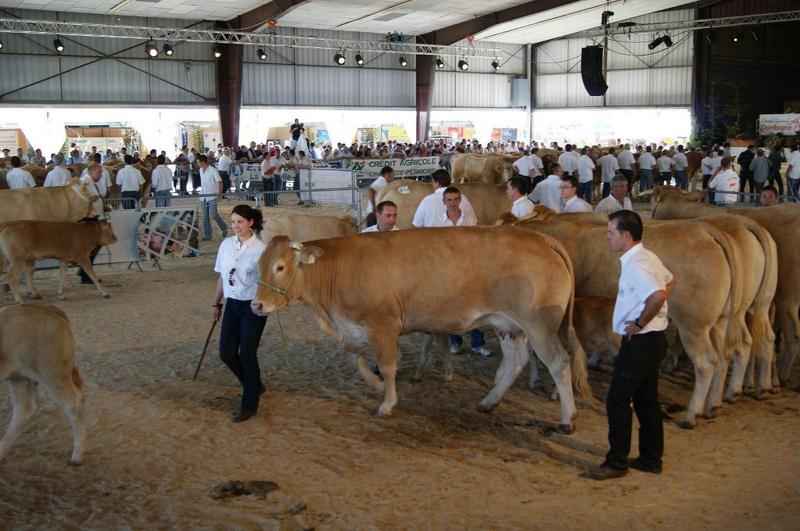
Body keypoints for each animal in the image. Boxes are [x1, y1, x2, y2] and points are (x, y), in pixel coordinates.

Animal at [0, 304, 85, 466]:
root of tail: (48, 308)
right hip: (21, 376)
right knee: (24, 410)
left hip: (52, 374)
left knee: (73, 406)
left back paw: (77, 456)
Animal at [250, 229, 592, 432]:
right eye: (257, 266)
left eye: (280, 267)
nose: (257, 305)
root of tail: (539, 236)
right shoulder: (352, 329)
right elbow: (355, 359)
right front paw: (374, 384)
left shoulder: (384, 325)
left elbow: (389, 366)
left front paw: (386, 403)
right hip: (508, 325)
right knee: (515, 362)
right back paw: (488, 402)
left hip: (539, 326)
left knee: (559, 363)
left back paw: (567, 418)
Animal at [512, 216, 736, 428]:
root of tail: (705, 230)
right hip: (719, 322)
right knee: (722, 357)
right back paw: (713, 406)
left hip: (693, 326)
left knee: (705, 363)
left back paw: (692, 415)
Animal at [648, 193, 800, 384]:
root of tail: (748, 224)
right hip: (762, 302)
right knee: (763, 337)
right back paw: (763, 383)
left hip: (785, 300)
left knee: (789, 335)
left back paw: (779, 375)